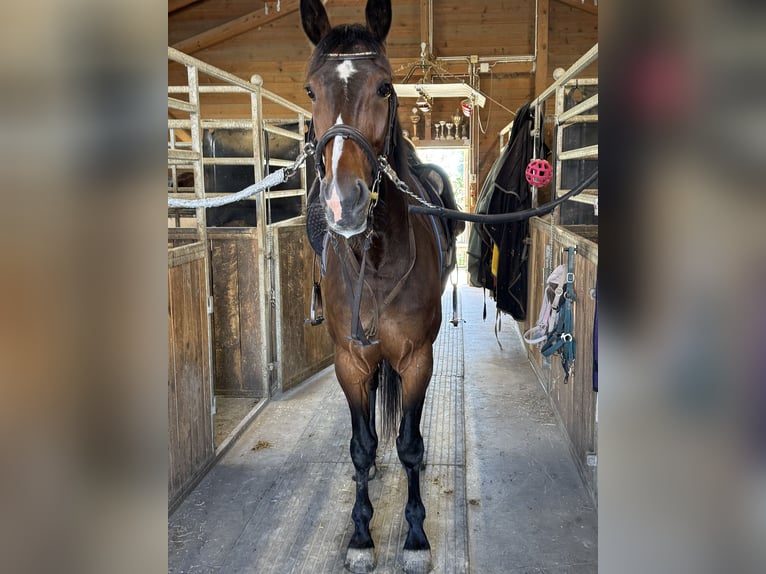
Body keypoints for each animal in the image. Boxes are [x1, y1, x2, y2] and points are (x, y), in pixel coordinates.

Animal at [300, 1, 461, 572]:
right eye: (311, 90)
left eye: (385, 87)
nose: (342, 203)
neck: (373, 256)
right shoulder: (349, 361)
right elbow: (362, 444)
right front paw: (360, 534)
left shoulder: (416, 359)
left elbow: (408, 444)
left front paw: (414, 537)